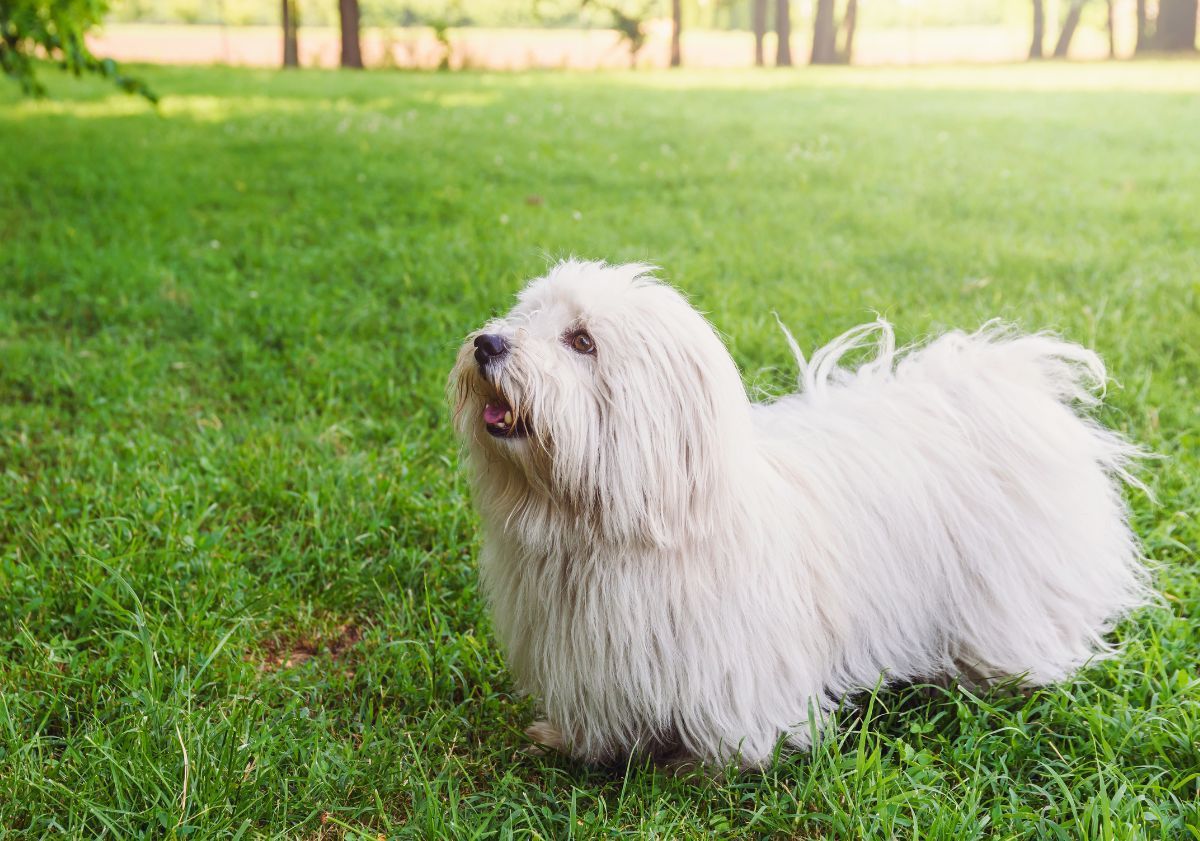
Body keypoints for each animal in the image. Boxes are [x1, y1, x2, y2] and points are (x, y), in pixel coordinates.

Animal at [451, 259, 1152, 763]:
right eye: (526, 315)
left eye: (582, 341)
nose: (488, 343)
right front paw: (571, 741)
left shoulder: (731, 667)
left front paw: (704, 766)